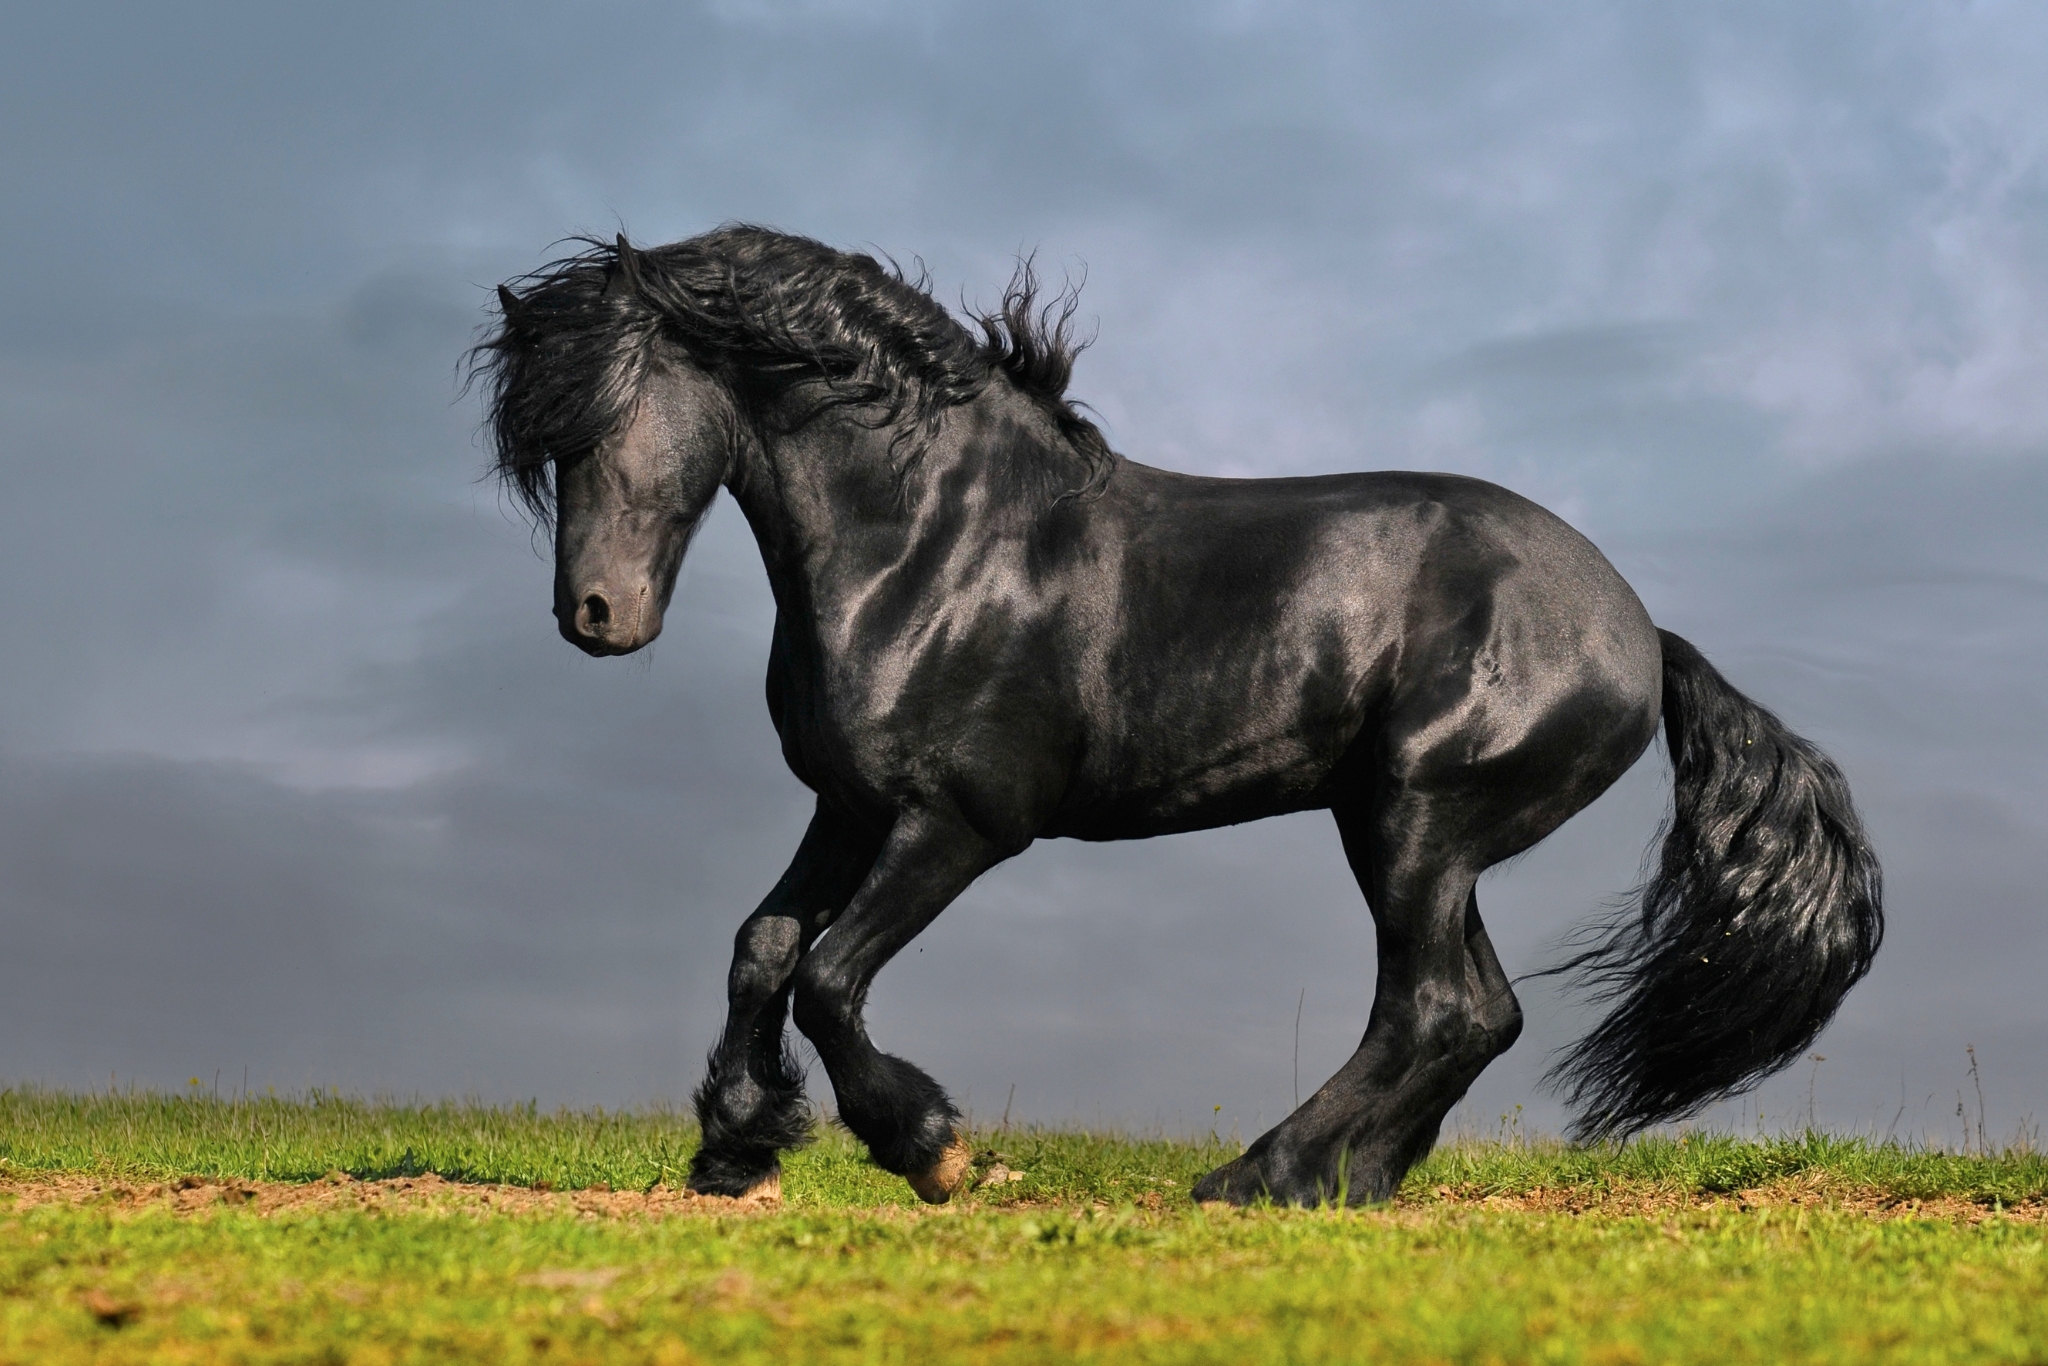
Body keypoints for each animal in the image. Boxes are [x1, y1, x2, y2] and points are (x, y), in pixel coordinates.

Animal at [472, 226, 1882, 1207]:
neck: (929, 543)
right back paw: (1350, 1181)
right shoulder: (849, 805)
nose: (592, 615)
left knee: (1434, 1008)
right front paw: (734, 1148)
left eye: (605, 417)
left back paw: (1263, 1175)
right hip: (1426, 840)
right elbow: (761, 947)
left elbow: (825, 976)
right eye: (540, 446)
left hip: (1413, 825)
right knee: (1476, 1011)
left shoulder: (961, 822)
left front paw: (932, 1150)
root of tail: (1639, 635)